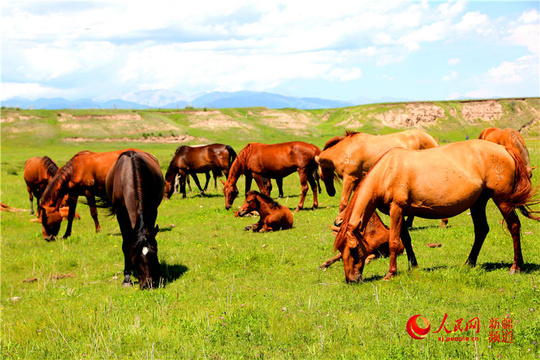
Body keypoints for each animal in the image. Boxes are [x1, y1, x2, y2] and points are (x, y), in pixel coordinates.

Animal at [105, 150, 165, 288]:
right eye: (136, 255)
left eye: (154, 252)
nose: (148, 283)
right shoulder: (121, 215)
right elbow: (126, 244)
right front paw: (127, 278)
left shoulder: (153, 210)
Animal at [336, 139, 536, 282]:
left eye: (354, 250)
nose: (351, 280)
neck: (387, 172)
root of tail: (504, 149)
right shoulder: (402, 211)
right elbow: (406, 240)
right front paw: (413, 266)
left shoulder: (397, 209)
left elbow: (394, 241)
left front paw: (390, 273)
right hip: (478, 202)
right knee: (481, 230)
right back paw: (469, 263)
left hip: (503, 200)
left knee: (514, 226)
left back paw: (515, 266)